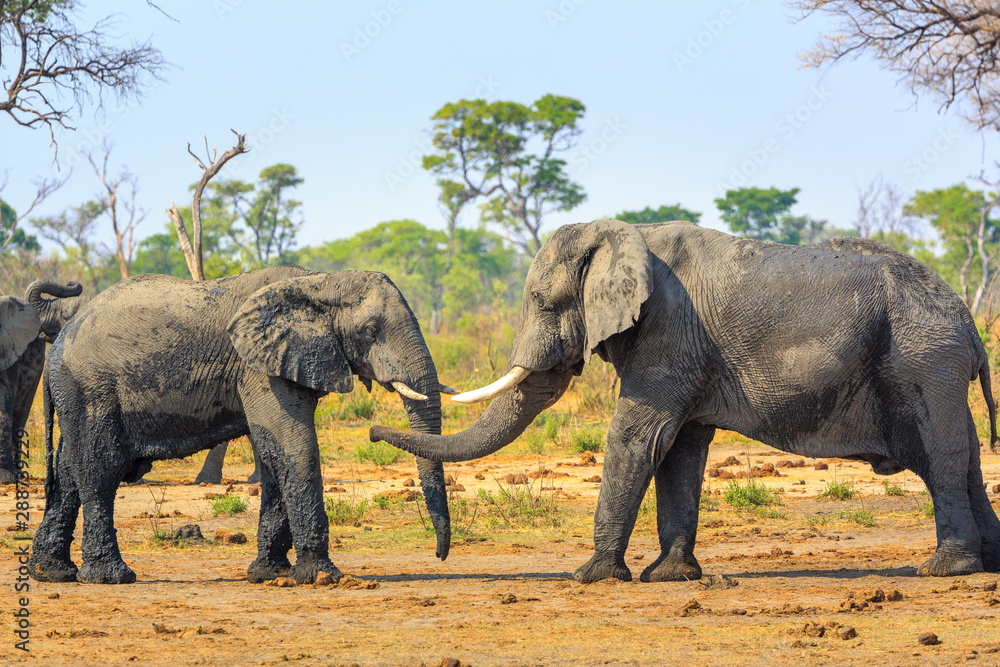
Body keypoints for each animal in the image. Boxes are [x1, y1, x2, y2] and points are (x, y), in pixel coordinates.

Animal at [28, 265, 453, 585]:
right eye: (370, 330)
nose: (439, 556)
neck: (320, 282)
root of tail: (58, 343)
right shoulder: (258, 367)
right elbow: (294, 446)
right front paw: (322, 578)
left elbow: (273, 454)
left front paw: (269, 575)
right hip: (91, 388)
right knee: (100, 467)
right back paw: (111, 577)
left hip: (78, 394)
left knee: (68, 472)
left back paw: (52, 573)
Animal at [371, 218, 1000, 583]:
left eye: (544, 303)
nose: (375, 432)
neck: (622, 227)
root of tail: (968, 323)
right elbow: (679, 450)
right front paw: (670, 577)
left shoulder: (668, 332)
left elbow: (638, 437)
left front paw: (589, 577)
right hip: (933, 365)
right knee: (967, 458)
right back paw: (984, 564)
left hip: (924, 361)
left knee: (942, 458)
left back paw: (943, 570)